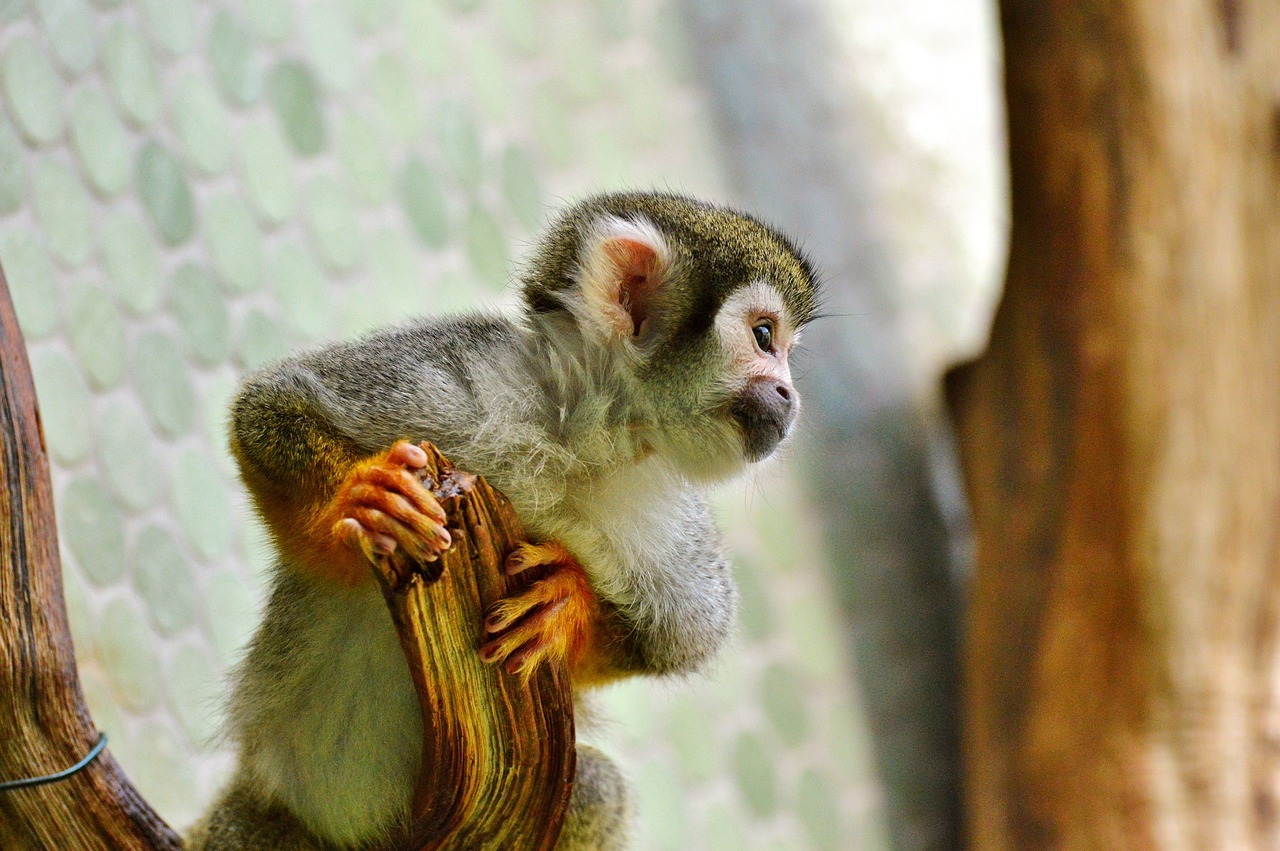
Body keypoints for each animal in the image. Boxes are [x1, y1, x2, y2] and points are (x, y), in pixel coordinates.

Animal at [192, 191, 819, 849]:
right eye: (764, 336)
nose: (789, 397)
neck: (581, 435)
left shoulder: (666, 506)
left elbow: (683, 637)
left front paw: (567, 603)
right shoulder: (469, 372)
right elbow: (269, 405)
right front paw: (362, 500)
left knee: (597, 787)